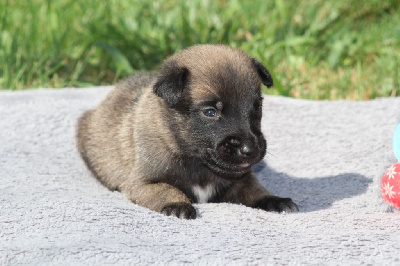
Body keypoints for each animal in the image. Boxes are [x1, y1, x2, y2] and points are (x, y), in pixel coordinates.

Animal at [76, 44, 298, 218]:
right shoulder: (143, 184)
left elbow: (256, 190)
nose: (250, 150)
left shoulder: (242, 180)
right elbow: (166, 189)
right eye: (210, 112)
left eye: (257, 107)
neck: (195, 161)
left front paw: (274, 199)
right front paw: (177, 204)